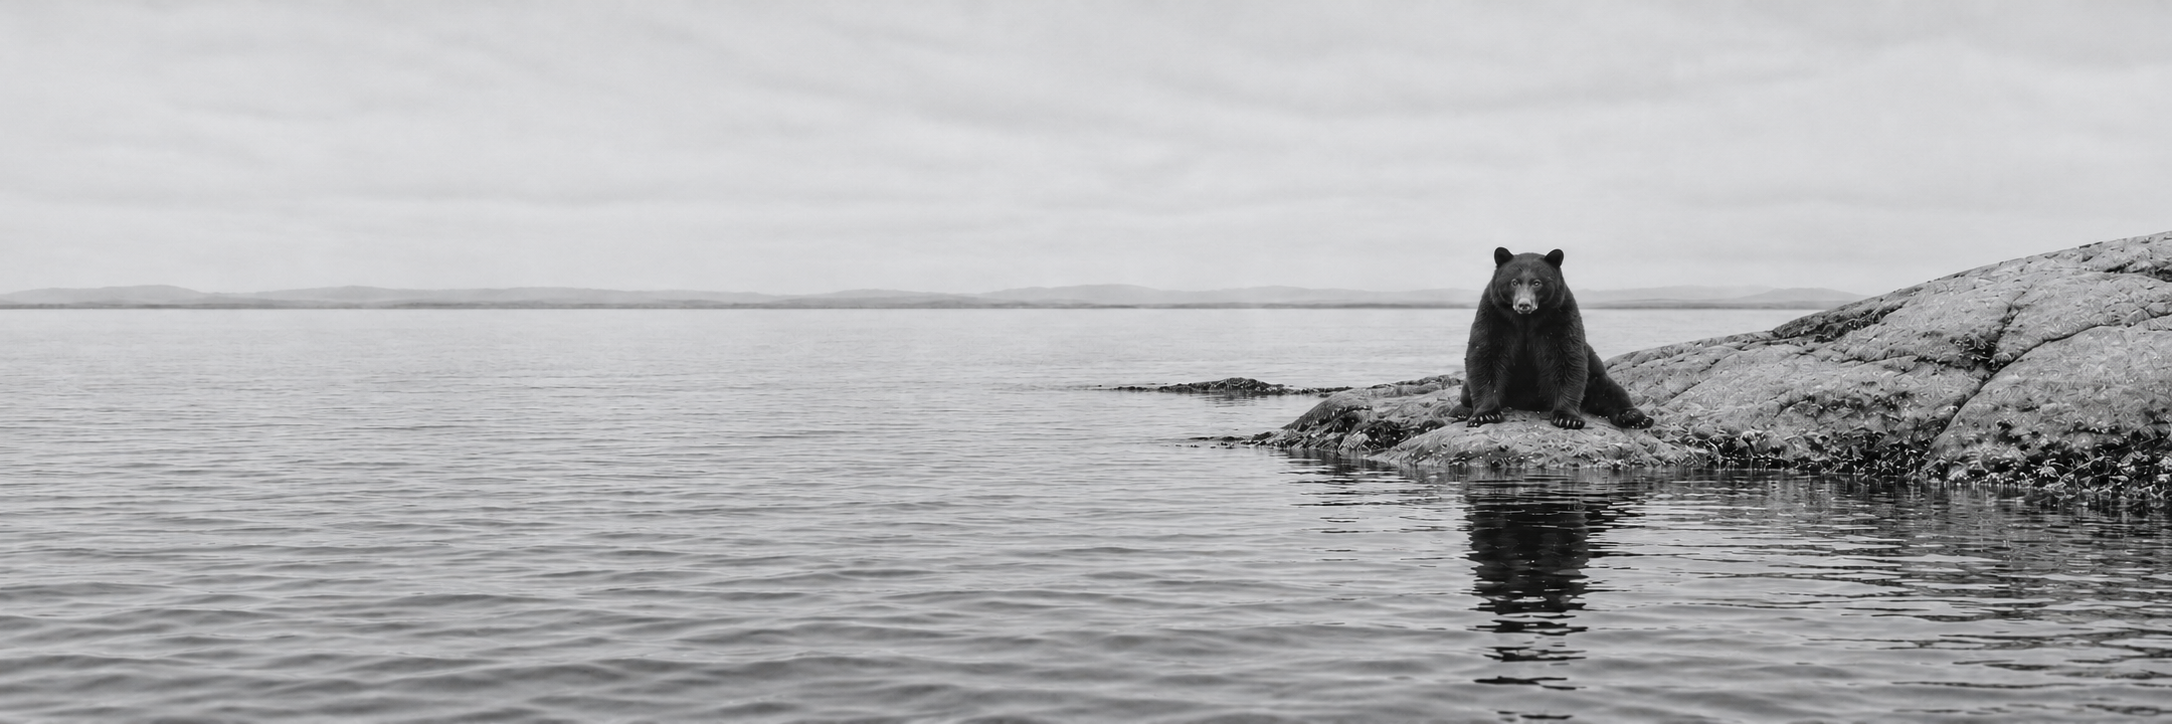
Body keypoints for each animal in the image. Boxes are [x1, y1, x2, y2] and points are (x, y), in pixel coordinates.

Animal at [1448, 247, 1653, 430]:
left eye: (1537, 282)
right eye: (1514, 282)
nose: (1524, 304)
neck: (1526, 320)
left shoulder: (1560, 316)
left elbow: (1568, 357)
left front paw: (1568, 417)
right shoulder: (1495, 315)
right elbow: (1484, 355)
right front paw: (1486, 414)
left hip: (1595, 375)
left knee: (1611, 390)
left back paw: (1634, 416)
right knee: (1465, 392)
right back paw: (1460, 410)